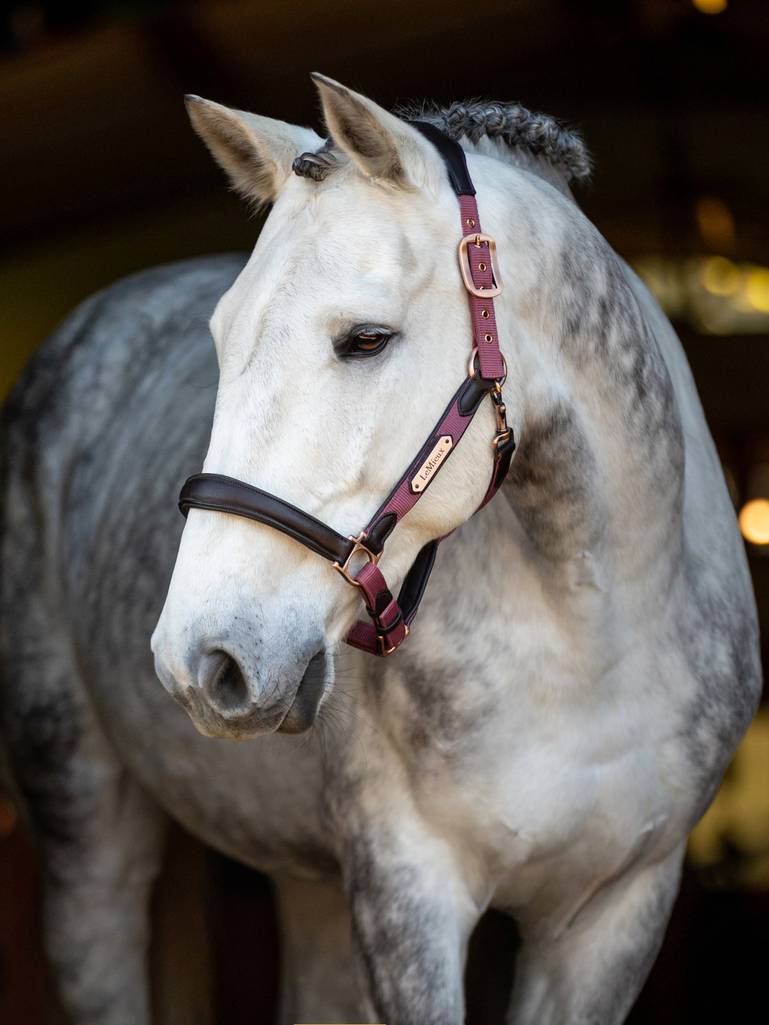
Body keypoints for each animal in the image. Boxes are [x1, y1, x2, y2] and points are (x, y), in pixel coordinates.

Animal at [0, 74, 762, 1025]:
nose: (200, 661)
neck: (594, 636)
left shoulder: (615, 911)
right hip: (83, 817)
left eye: (365, 338)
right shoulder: (409, 895)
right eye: (219, 341)